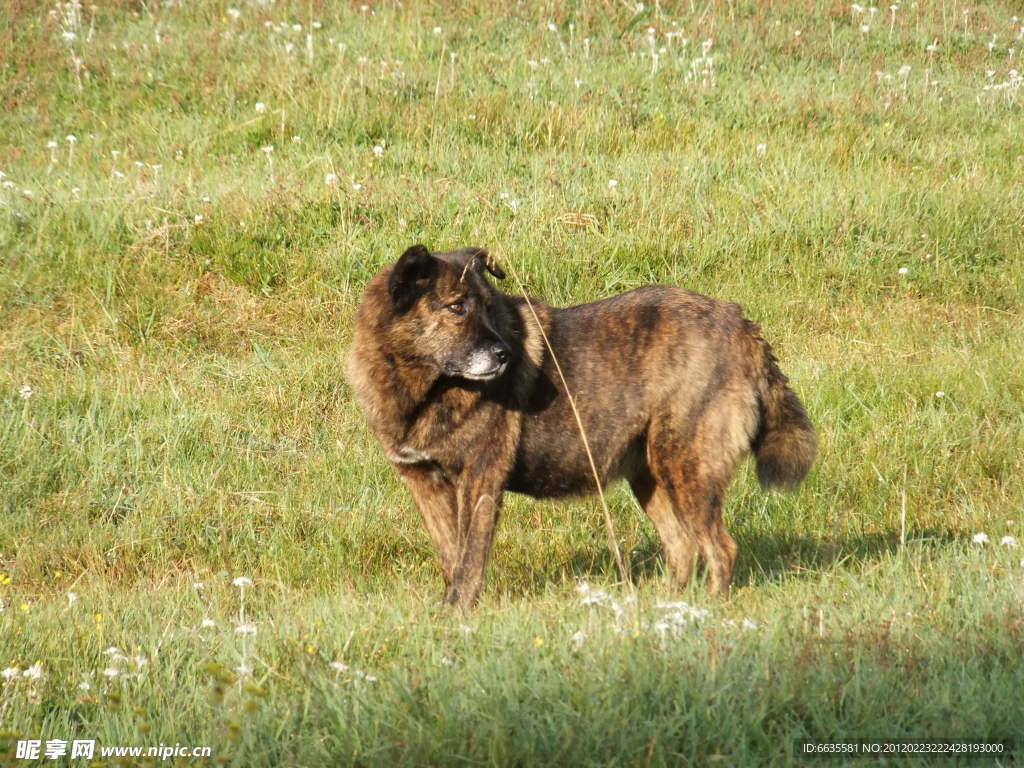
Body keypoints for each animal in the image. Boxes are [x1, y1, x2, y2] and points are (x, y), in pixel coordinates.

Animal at [346, 244, 815, 606]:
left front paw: (458, 614)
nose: (504, 355)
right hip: (652, 477)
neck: (423, 389)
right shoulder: (424, 483)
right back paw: (666, 608)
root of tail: (742, 324)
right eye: (457, 307)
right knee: (683, 547)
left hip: (687, 469)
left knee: (720, 549)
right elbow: (450, 556)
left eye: (488, 309)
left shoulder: (479, 481)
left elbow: (468, 561)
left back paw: (709, 613)